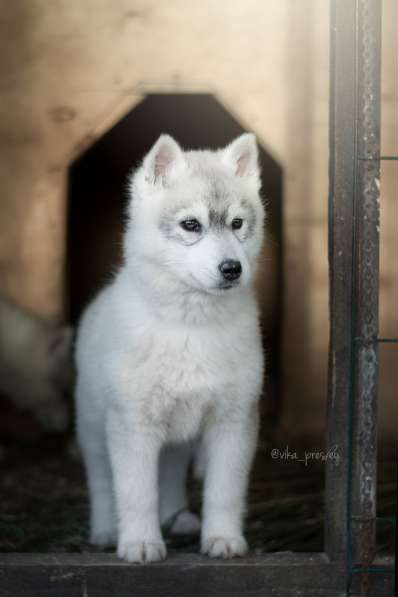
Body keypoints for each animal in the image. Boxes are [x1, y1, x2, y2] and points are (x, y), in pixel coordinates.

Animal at [74, 132, 264, 564]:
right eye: (190, 225)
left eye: (237, 224)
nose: (232, 269)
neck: (190, 327)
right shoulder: (132, 425)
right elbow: (136, 493)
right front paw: (140, 543)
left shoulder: (233, 421)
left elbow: (225, 492)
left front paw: (222, 538)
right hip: (94, 427)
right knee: (102, 484)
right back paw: (105, 531)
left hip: (179, 438)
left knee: (172, 473)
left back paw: (178, 518)